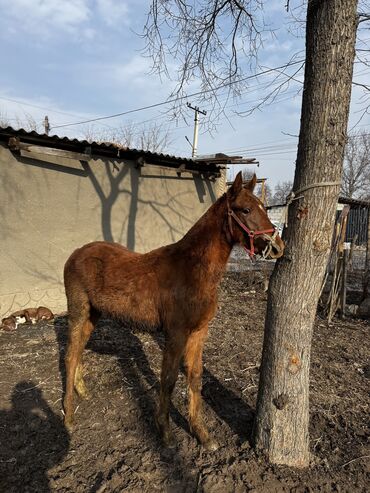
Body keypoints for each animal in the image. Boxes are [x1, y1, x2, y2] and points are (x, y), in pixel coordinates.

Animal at [62, 171, 284, 448]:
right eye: (245, 209)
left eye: (264, 207)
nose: (278, 247)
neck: (192, 269)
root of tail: (76, 253)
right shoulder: (175, 333)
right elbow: (168, 380)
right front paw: (165, 432)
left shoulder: (199, 332)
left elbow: (195, 376)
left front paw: (202, 433)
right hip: (78, 312)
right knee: (70, 356)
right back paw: (68, 418)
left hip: (93, 315)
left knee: (79, 350)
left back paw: (82, 391)